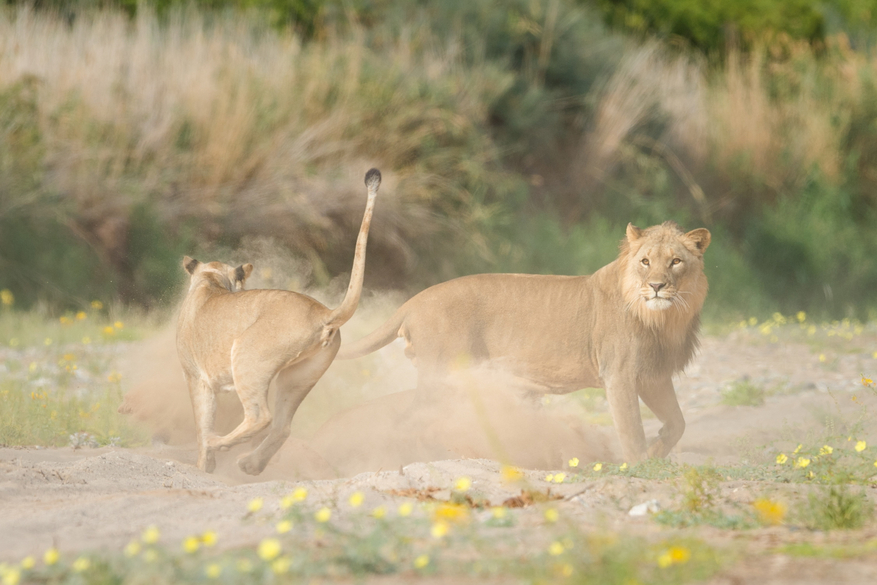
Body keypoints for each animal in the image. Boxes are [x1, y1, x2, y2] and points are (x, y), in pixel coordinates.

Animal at [177, 167, 380, 472]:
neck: (211, 281)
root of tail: (322, 312)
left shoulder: (195, 376)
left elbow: (202, 422)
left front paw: (204, 464)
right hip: (298, 375)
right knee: (282, 425)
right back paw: (250, 464)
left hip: (247, 359)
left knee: (260, 416)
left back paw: (220, 443)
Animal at [338, 221, 712, 464]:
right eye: (645, 261)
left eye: (676, 261)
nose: (657, 286)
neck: (664, 319)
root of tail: (412, 302)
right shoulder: (619, 374)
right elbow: (631, 430)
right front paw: (638, 467)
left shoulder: (653, 376)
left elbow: (677, 423)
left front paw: (657, 452)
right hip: (439, 375)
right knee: (409, 420)